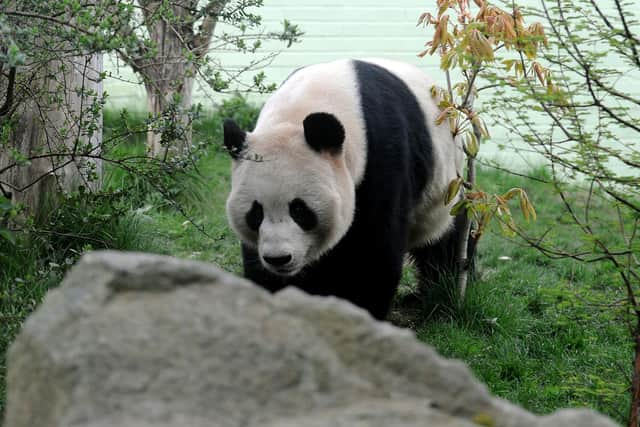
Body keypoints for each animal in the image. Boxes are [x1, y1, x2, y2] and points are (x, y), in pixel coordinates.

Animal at [225, 58, 464, 320]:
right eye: (256, 212)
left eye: (300, 210)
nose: (279, 259)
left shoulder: (382, 160)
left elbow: (373, 254)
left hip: (444, 185)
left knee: (443, 242)